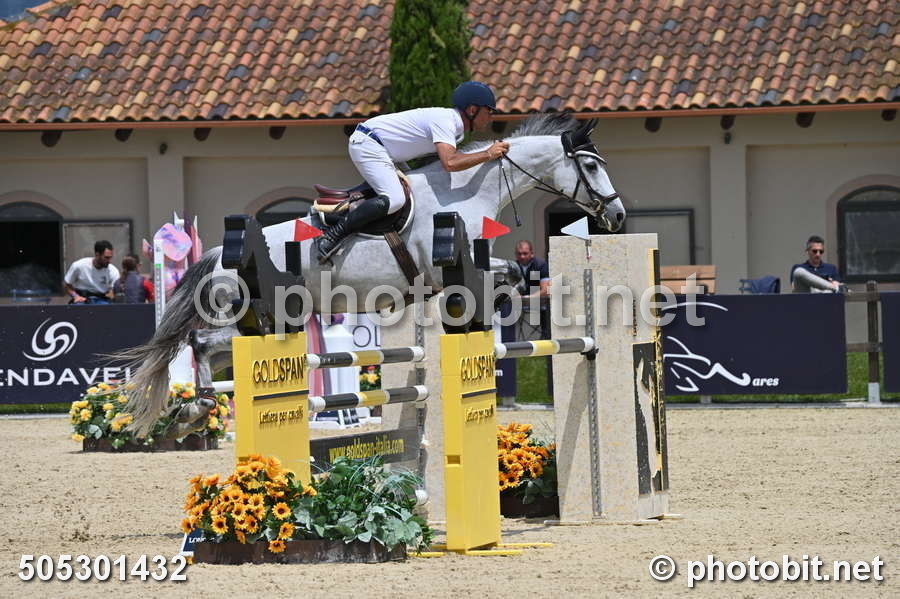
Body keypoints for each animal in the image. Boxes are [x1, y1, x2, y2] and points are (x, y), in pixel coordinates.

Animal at [121, 113, 625, 437]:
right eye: (591, 165)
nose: (617, 216)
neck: (466, 191)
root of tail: (217, 256)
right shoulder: (443, 268)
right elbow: (512, 272)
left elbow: (515, 274)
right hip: (252, 320)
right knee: (201, 342)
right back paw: (197, 408)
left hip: (267, 326)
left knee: (212, 350)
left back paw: (194, 410)